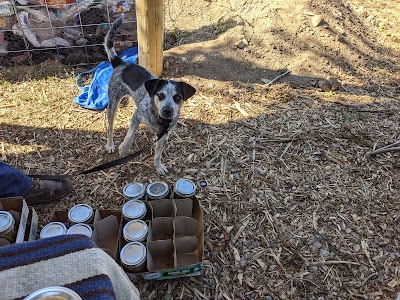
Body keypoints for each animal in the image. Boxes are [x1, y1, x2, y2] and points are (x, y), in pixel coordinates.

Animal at [104, 14, 196, 175]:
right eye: (160, 95)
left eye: (177, 97)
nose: (167, 110)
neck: (160, 120)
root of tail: (121, 63)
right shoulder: (137, 116)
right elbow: (130, 134)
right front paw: (124, 148)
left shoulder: (164, 135)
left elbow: (158, 154)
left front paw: (158, 167)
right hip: (113, 103)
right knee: (110, 127)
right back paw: (110, 145)